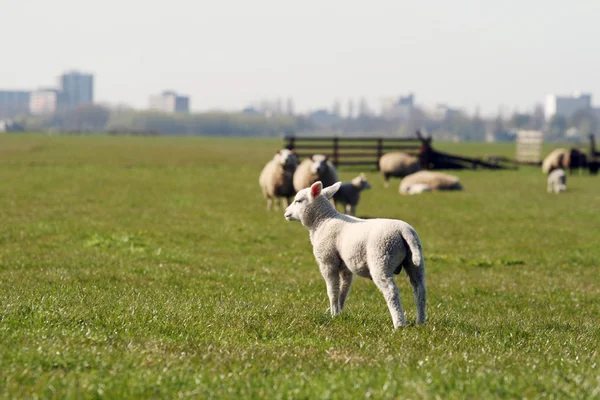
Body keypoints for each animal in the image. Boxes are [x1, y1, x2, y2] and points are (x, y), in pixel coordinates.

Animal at [284, 181, 426, 328]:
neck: (322, 222)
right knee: (419, 289)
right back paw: (420, 322)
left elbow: (332, 290)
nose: (285, 213)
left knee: (391, 291)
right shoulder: (345, 267)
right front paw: (339, 313)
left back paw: (399, 324)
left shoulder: (328, 262)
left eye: (298, 201)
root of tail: (404, 231)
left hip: (381, 258)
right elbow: (343, 290)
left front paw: (333, 313)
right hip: (414, 262)